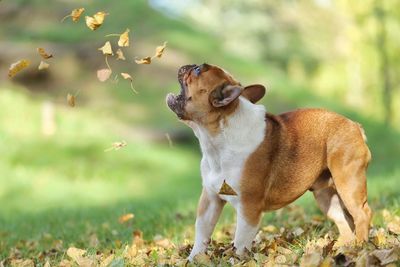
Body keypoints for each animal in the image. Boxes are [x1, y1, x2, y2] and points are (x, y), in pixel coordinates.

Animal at [166, 63, 372, 260]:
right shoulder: (210, 199)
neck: (218, 139)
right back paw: (344, 247)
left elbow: (240, 241)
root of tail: (355, 126)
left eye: (198, 70)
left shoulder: (249, 207)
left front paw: (237, 260)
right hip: (326, 195)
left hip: (348, 182)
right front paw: (194, 259)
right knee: (343, 219)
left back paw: (359, 247)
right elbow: (202, 231)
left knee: (362, 214)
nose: (188, 65)